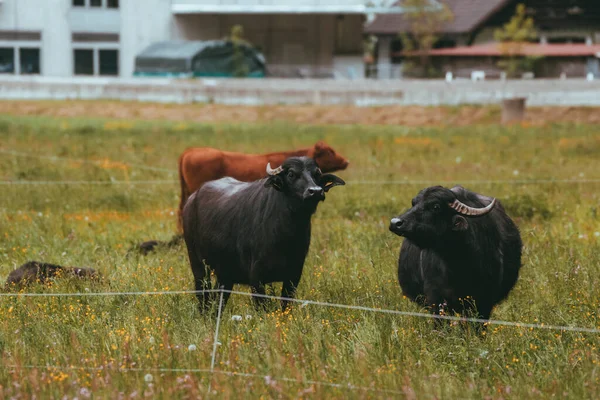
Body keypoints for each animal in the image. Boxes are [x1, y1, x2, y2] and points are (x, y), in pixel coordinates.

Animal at [180, 155, 344, 312]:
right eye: (291, 174)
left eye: (317, 174)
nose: (315, 191)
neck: (287, 236)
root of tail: (192, 199)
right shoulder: (256, 278)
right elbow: (262, 307)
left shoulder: (294, 274)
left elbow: (286, 305)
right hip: (198, 265)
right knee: (203, 296)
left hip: (225, 274)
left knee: (218, 299)